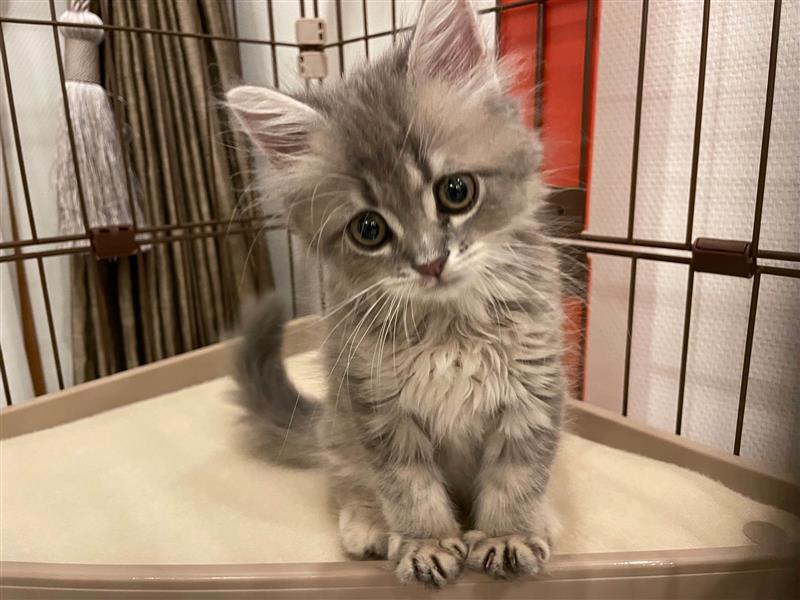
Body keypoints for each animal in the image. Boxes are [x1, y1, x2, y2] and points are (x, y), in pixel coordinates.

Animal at [227, 0, 567, 587]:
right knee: (348, 479)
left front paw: (508, 534)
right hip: (340, 425)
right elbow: (408, 488)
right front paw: (425, 543)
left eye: (456, 191)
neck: (450, 328)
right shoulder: (377, 406)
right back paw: (366, 523)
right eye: (369, 230)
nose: (431, 263)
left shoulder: (532, 391)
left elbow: (518, 476)